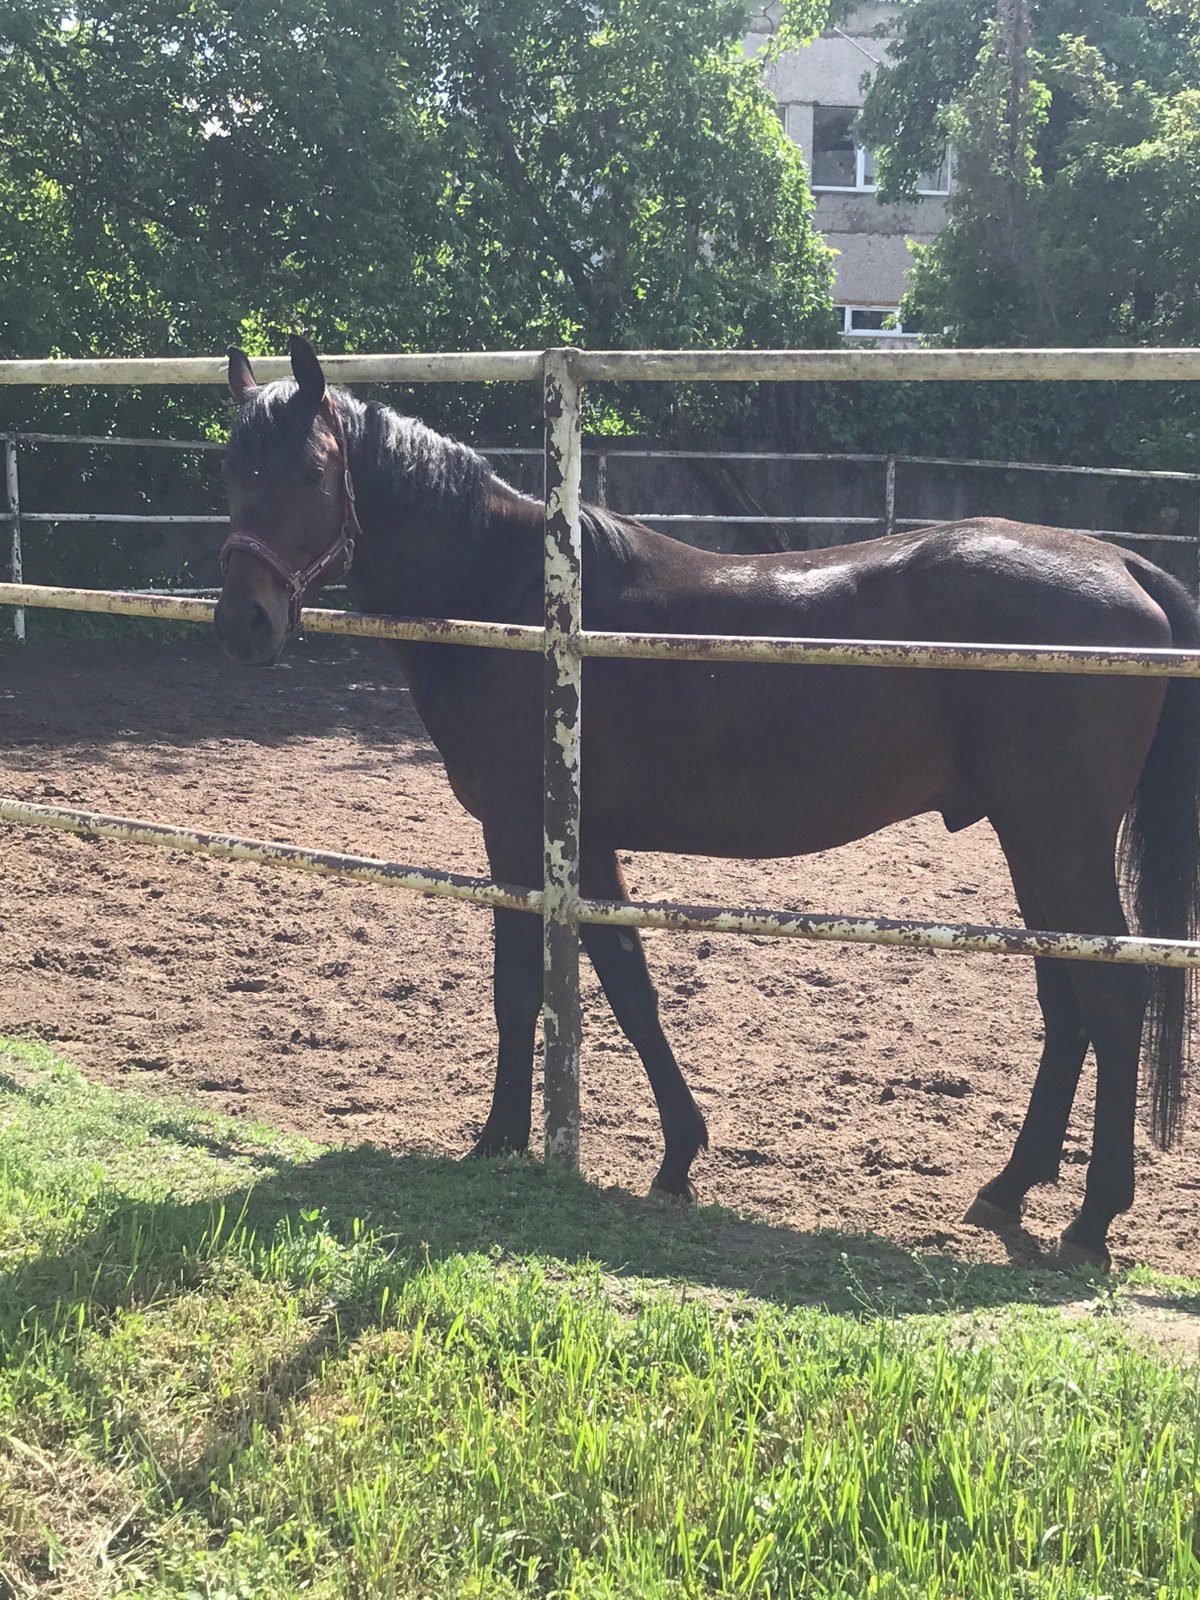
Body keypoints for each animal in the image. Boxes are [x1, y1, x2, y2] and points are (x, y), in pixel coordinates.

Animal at [213, 335, 1200, 1269]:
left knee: (1113, 1002)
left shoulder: (518, 833)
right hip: (1030, 843)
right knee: (1067, 1003)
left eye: (311, 472)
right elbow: (628, 984)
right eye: (231, 470)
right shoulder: (586, 841)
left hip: (1058, 840)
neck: (516, 596)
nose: (242, 624)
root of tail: (1122, 562)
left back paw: (1092, 1219)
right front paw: (678, 1155)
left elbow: (520, 987)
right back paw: (1009, 1187)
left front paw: (498, 1141)